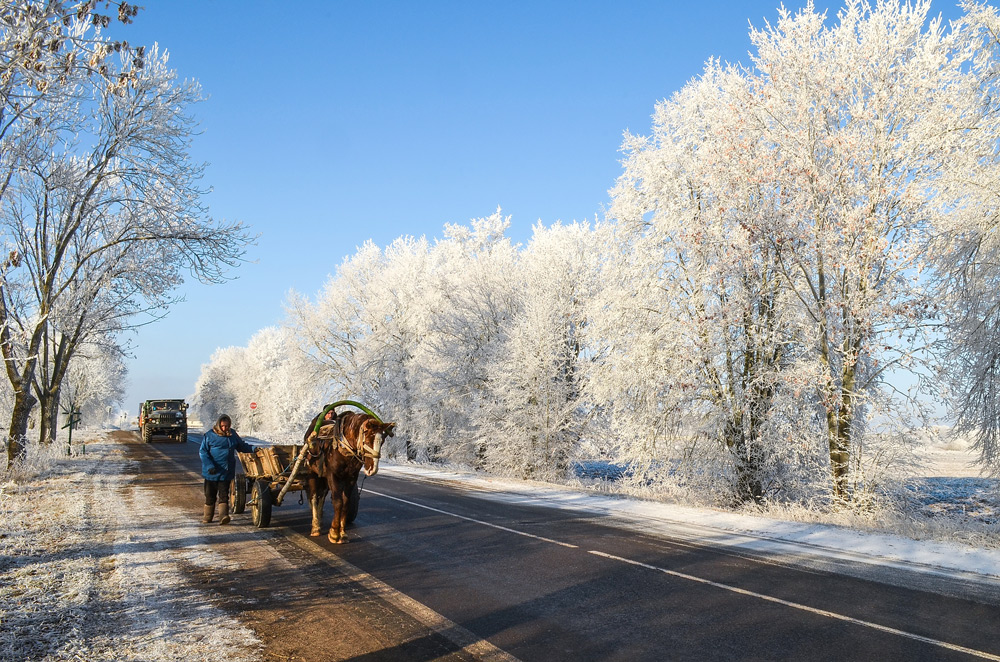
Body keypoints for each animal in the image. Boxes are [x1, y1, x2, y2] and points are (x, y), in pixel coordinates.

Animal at [302, 410, 396, 544]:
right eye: (368, 441)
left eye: (382, 441)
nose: (372, 469)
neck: (343, 448)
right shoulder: (333, 475)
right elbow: (338, 502)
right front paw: (334, 533)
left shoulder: (351, 478)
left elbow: (345, 503)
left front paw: (342, 533)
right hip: (312, 474)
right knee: (314, 497)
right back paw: (315, 527)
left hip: (323, 478)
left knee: (322, 496)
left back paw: (319, 519)